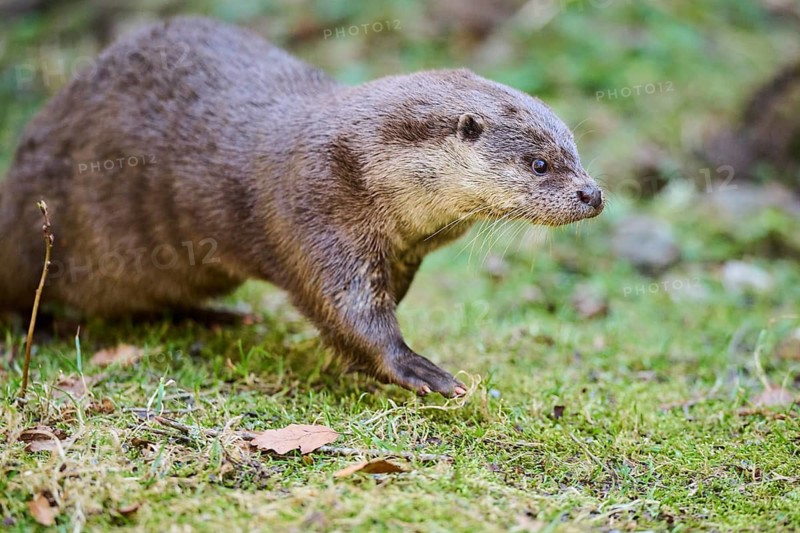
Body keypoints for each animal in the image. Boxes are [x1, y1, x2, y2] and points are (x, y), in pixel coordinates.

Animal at [0, 17, 604, 396]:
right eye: (540, 164)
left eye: (574, 151)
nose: (593, 193)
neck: (361, 161)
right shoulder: (316, 211)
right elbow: (344, 307)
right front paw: (414, 366)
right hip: (39, 232)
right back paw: (45, 327)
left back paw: (216, 316)